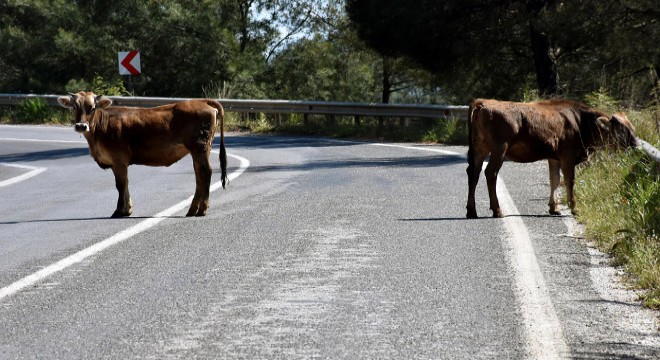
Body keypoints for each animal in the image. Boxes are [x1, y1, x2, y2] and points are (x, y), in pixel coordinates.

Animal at [59, 91, 229, 218]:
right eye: (74, 107)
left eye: (92, 108)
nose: (81, 126)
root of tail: (201, 101)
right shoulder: (116, 163)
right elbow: (125, 183)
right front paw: (127, 209)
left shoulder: (119, 159)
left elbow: (120, 185)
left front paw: (119, 210)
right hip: (199, 150)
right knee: (199, 174)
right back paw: (193, 209)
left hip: (200, 147)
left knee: (205, 172)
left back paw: (202, 209)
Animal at [466, 97, 636, 218]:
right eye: (621, 129)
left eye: (631, 127)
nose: (635, 144)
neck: (580, 122)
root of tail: (482, 102)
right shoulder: (568, 156)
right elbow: (569, 180)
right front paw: (574, 208)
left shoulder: (554, 157)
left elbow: (554, 179)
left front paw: (554, 207)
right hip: (499, 148)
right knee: (490, 173)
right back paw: (497, 210)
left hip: (479, 148)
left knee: (473, 173)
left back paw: (471, 211)